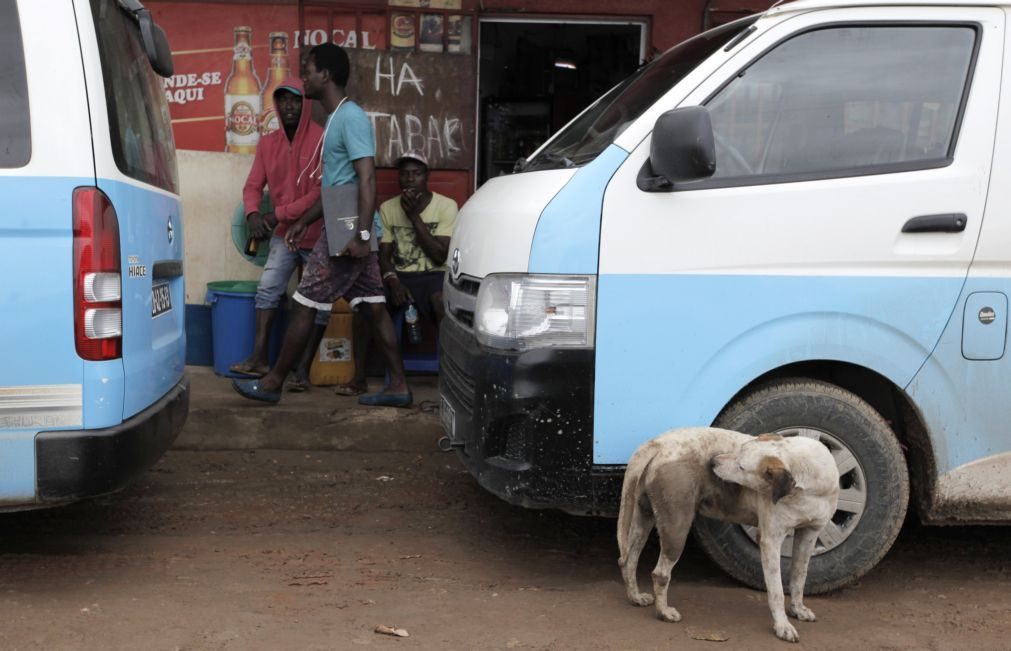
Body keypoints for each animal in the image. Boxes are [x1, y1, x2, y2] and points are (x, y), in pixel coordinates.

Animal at [614, 426, 845, 638]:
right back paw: (663, 612)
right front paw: (782, 626)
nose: (712, 462)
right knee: (660, 573)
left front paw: (798, 609)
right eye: (739, 450)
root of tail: (658, 444)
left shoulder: (810, 534)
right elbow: (777, 591)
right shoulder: (770, 539)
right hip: (676, 526)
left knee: (628, 560)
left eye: (741, 466)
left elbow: (799, 576)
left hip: (643, 517)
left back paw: (635, 597)